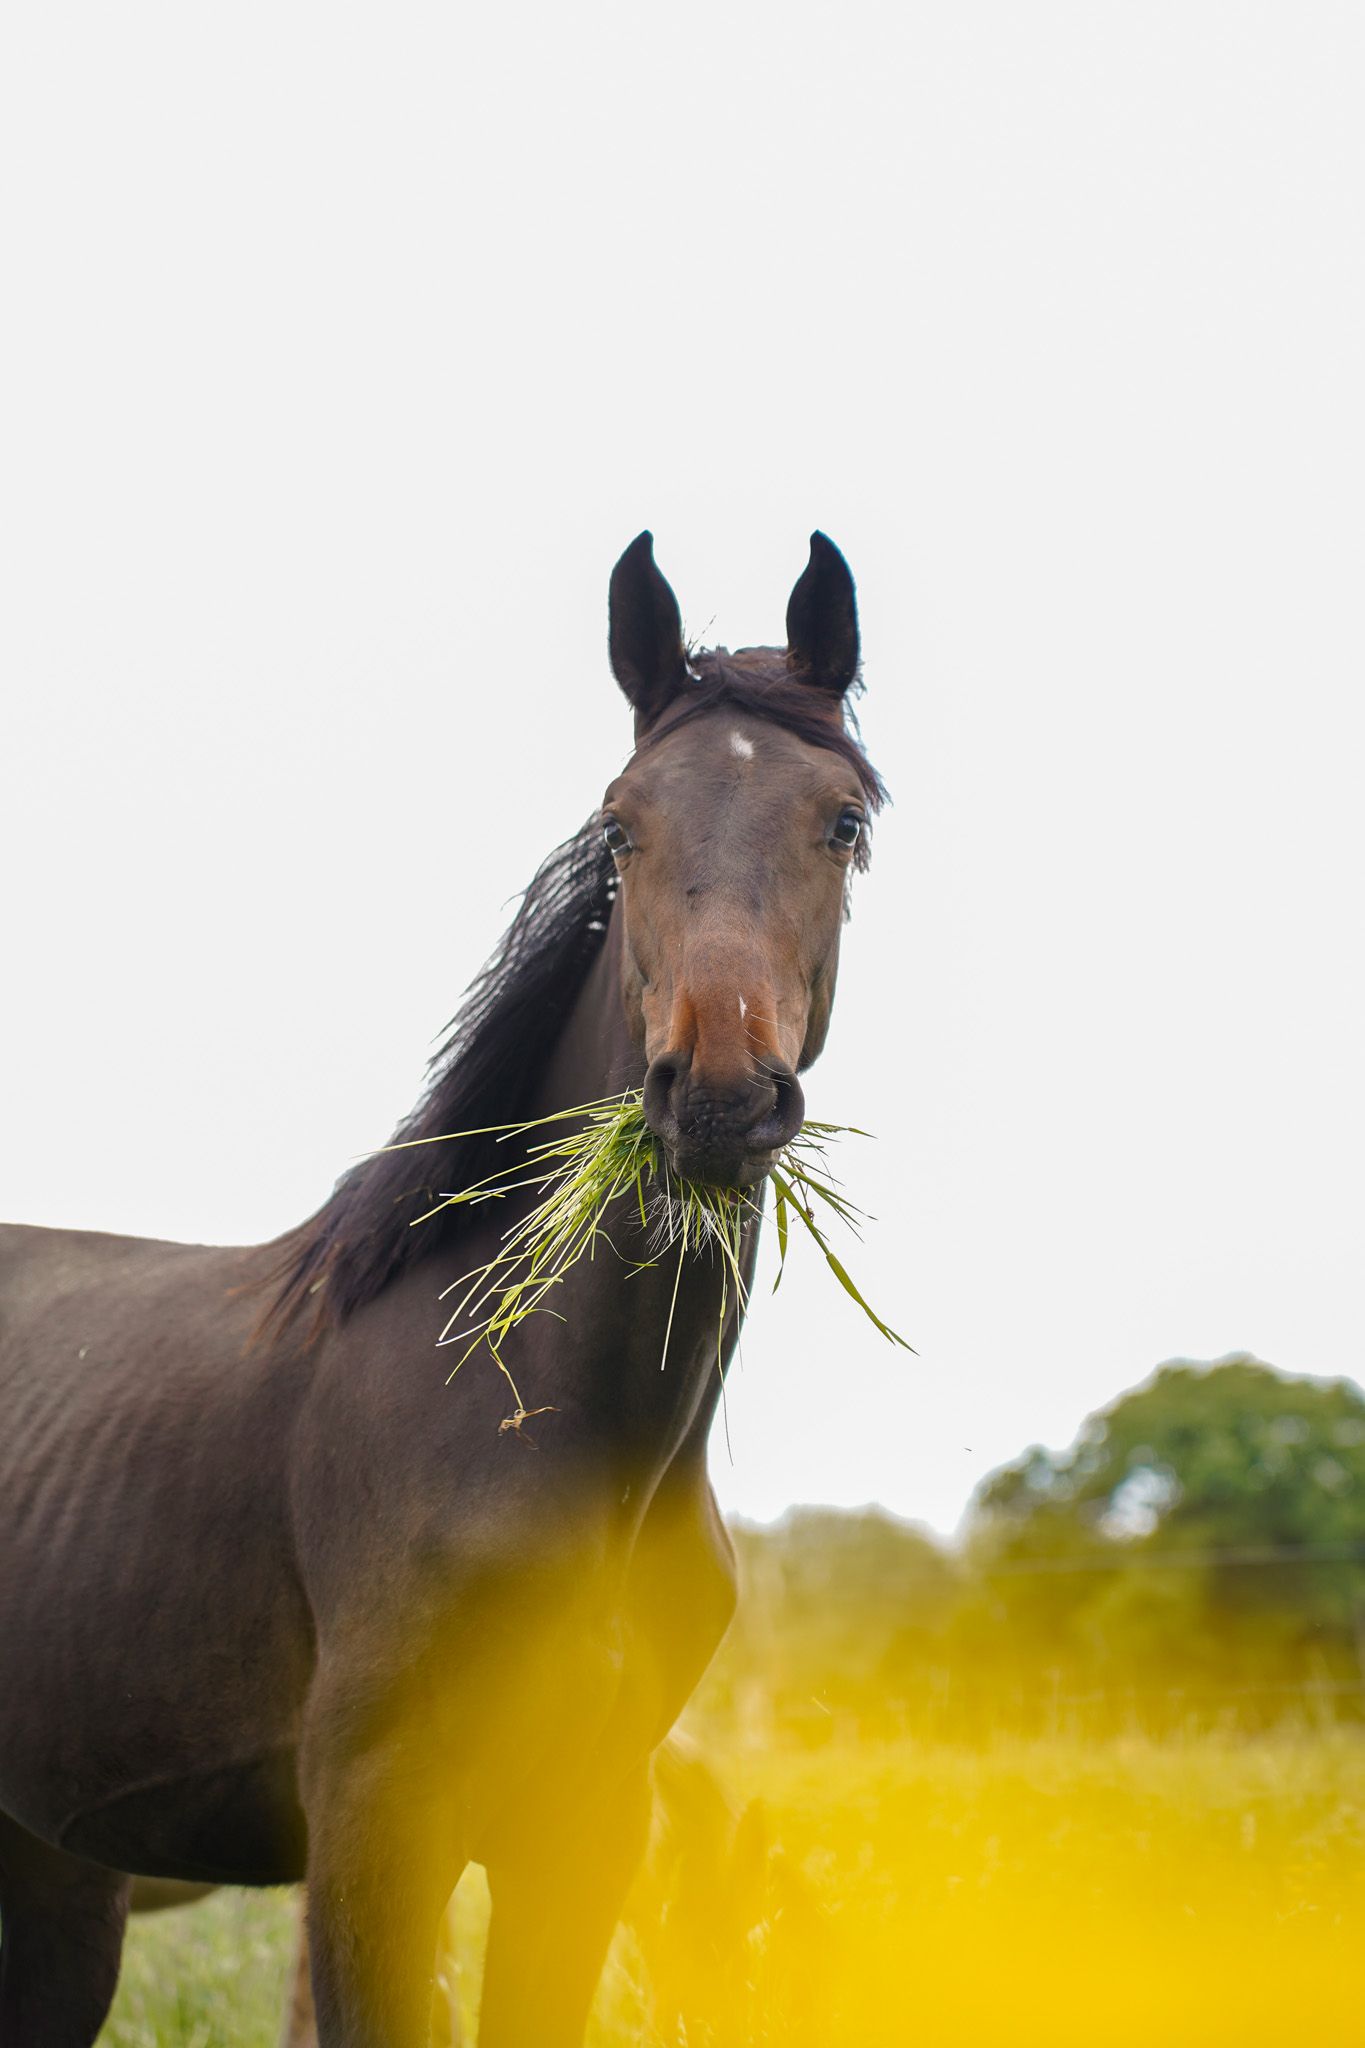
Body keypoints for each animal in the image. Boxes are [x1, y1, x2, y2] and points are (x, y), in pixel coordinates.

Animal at [0, 530, 884, 2046]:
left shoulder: (582, 1837)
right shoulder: (374, 1827)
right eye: (623, 824)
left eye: (842, 824)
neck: (545, 1423)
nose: (716, 1096)